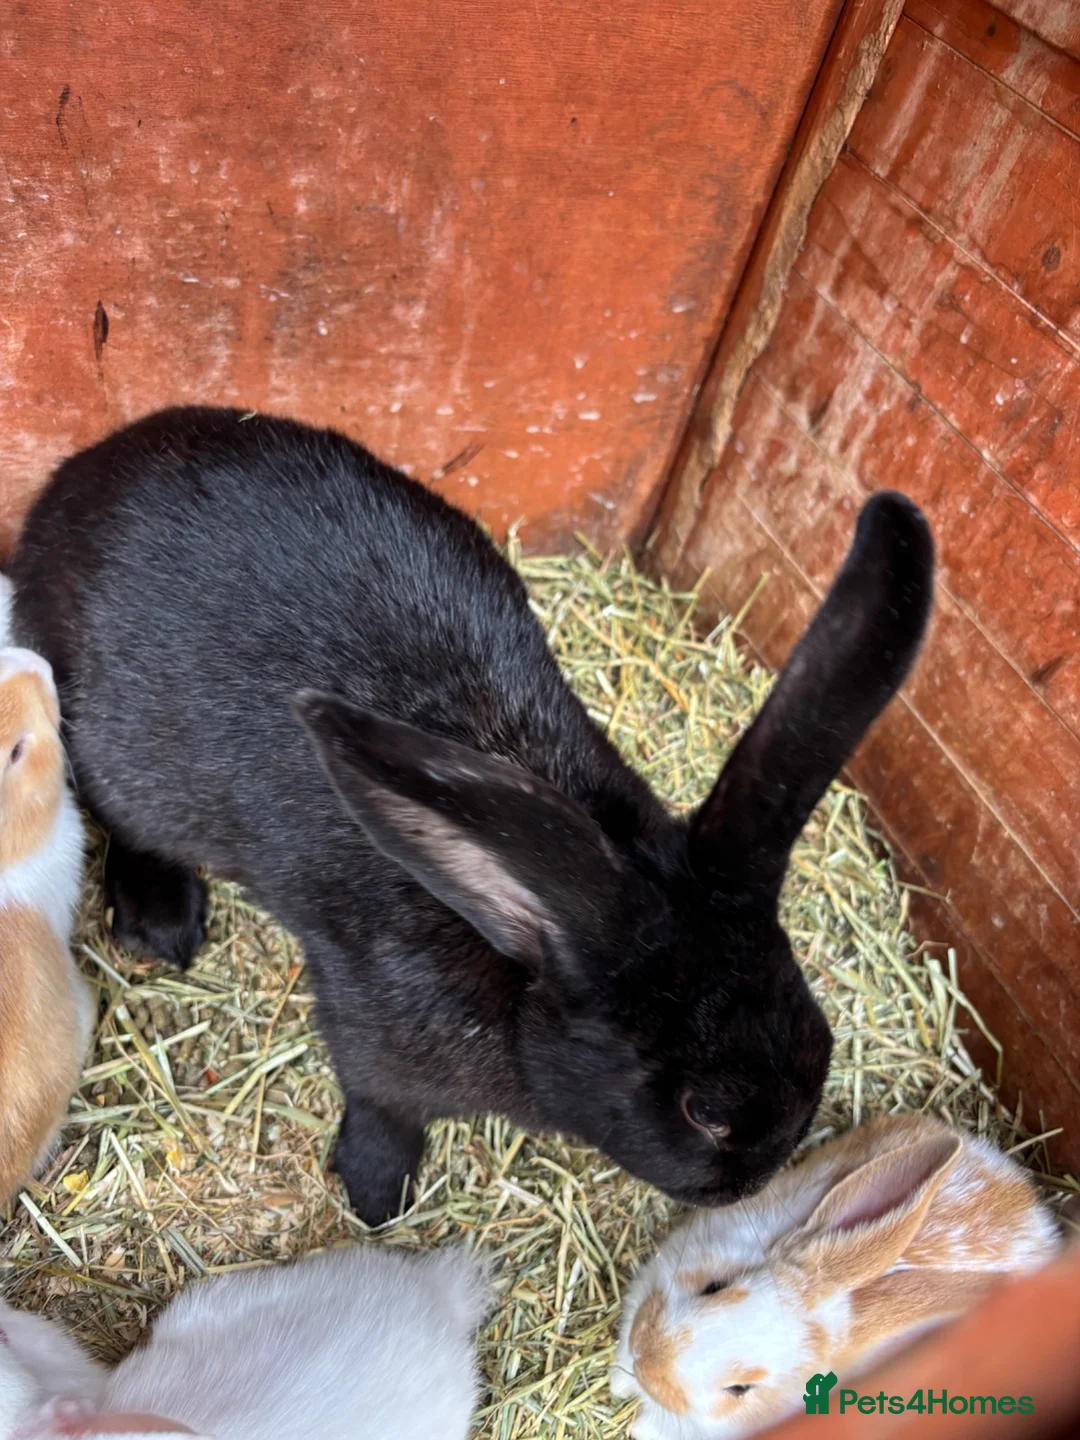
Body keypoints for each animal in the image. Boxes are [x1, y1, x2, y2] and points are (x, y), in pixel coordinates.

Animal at [8, 407, 933, 1224]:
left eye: (820, 1039)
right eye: (704, 1111)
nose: (754, 1179)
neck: (527, 945)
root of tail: (71, 488)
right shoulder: (375, 1039)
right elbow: (383, 1110)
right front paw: (376, 1195)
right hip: (119, 753)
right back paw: (162, 921)